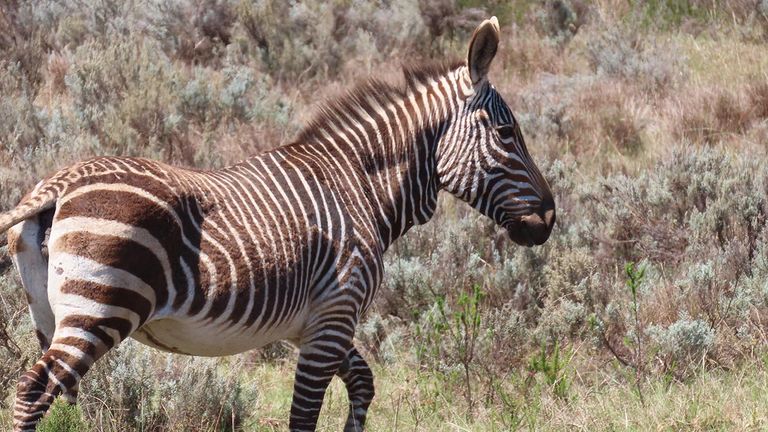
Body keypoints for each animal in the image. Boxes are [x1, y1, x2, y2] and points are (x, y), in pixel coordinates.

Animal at [0, 17, 552, 432]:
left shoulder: (317, 324)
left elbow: (363, 383)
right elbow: (304, 417)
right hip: (100, 307)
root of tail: (61, 183)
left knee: (45, 391)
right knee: (33, 389)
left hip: (49, 314)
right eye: (507, 133)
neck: (360, 187)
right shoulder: (335, 315)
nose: (548, 220)